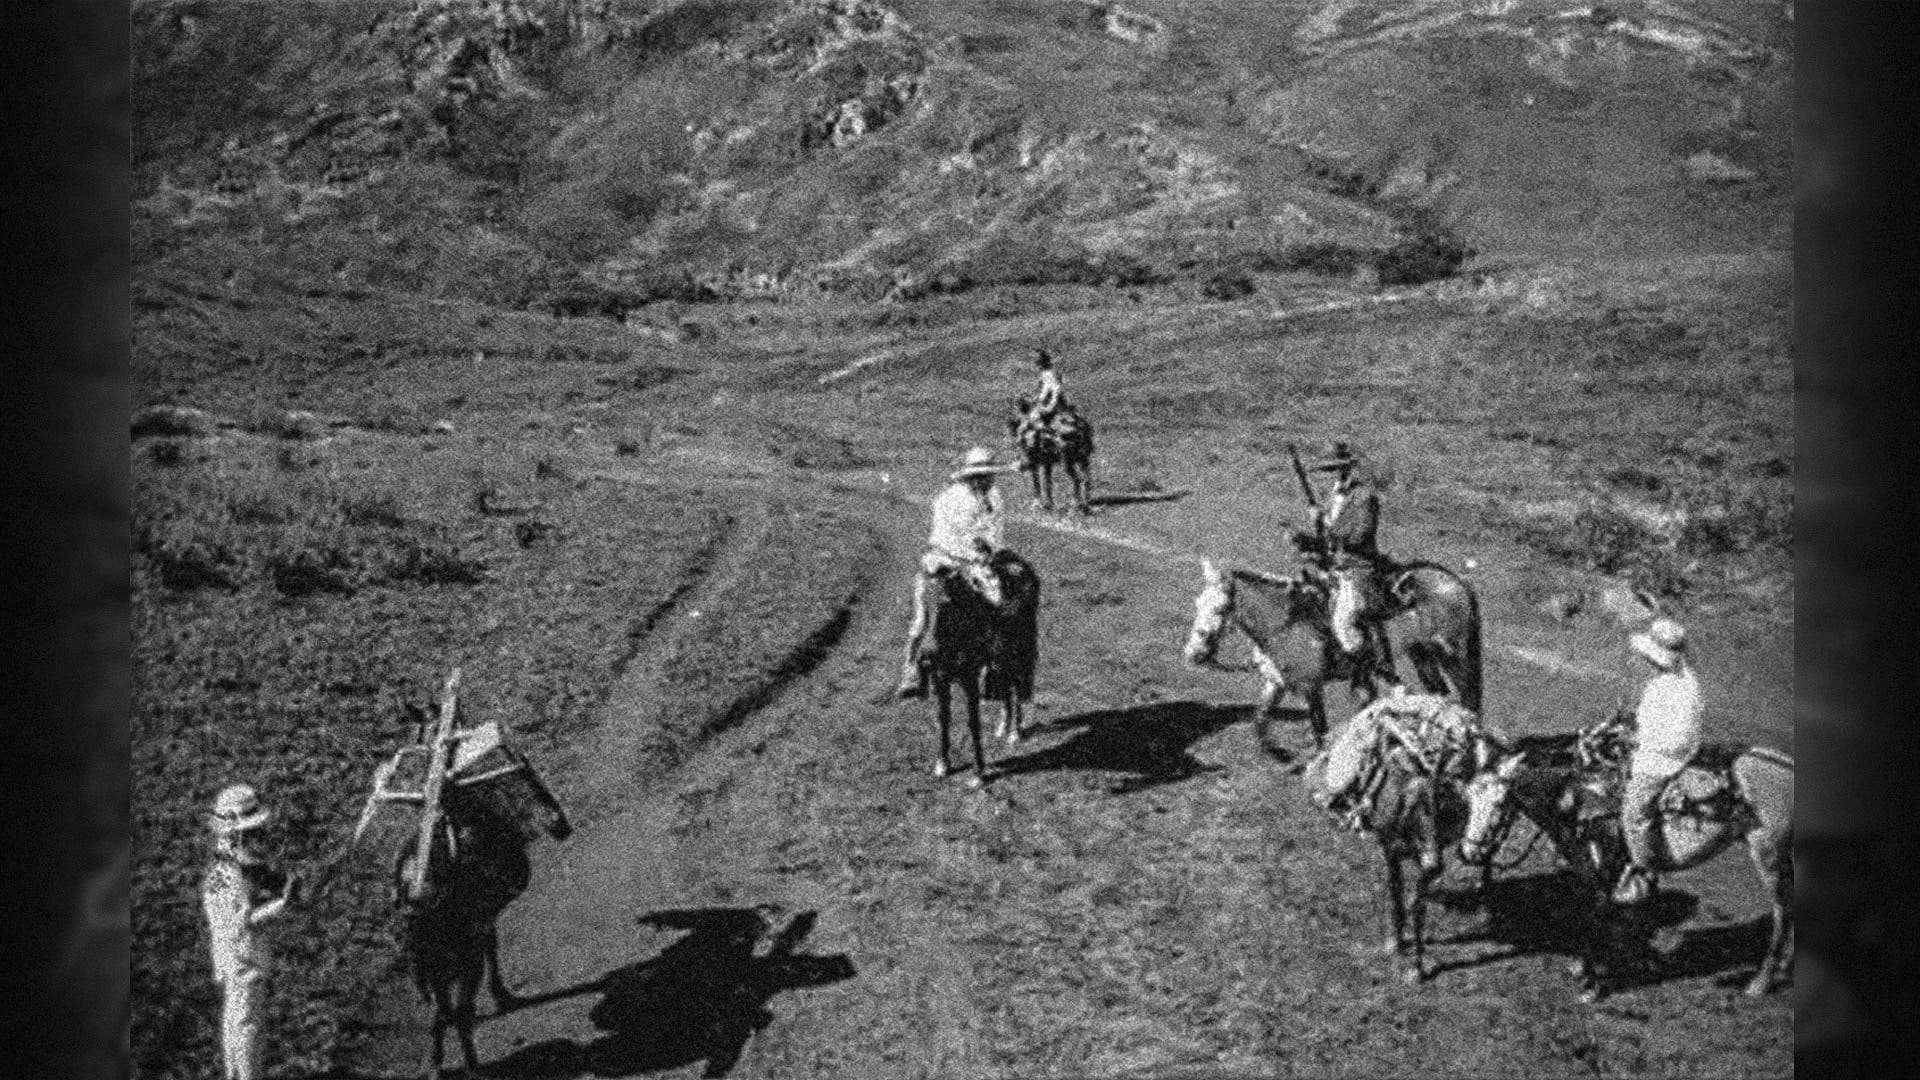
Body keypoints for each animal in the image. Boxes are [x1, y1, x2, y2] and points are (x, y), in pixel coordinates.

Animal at [387, 737, 568, 1076]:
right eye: (531, 778)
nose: (561, 824)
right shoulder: (484, 918)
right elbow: (491, 946)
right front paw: (502, 995)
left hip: (429, 968)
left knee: (439, 1015)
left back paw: (438, 1066)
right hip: (457, 961)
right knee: (458, 1011)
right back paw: (471, 1065)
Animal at [917, 545, 1044, 780]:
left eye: (946, 604)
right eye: (923, 603)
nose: (927, 655)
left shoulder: (970, 678)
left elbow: (973, 721)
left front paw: (978, 772)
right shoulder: (941, 678)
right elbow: (943, 719)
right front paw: (943, 764)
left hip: (1018, 655)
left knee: (1016, 687)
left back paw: (1015, 732)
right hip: (1000, 659)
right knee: (1006, 688)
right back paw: (1003, 727)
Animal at [1182, 557, 1482, 760]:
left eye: (1220, 608)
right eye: (1197, 603)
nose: (1193, 653)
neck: (1289, 622)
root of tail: (1456, 582)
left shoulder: (1312, 686)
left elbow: (1320, 730)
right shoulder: (1276, 682)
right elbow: (1260, 721)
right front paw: (1280, 754)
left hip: (1453, 658)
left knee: (1467, 699)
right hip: (1422, 656)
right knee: (1440, 694)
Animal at [1459, 714, 1789, 999]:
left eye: (1500, 801)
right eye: (1469, 796)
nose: (1469, 851)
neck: (1578, 794)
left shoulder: (1602, 867)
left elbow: (1593, 916)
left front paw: (1590, 984)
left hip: (1769, 856)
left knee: (1781, 913)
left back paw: (1760, 982)